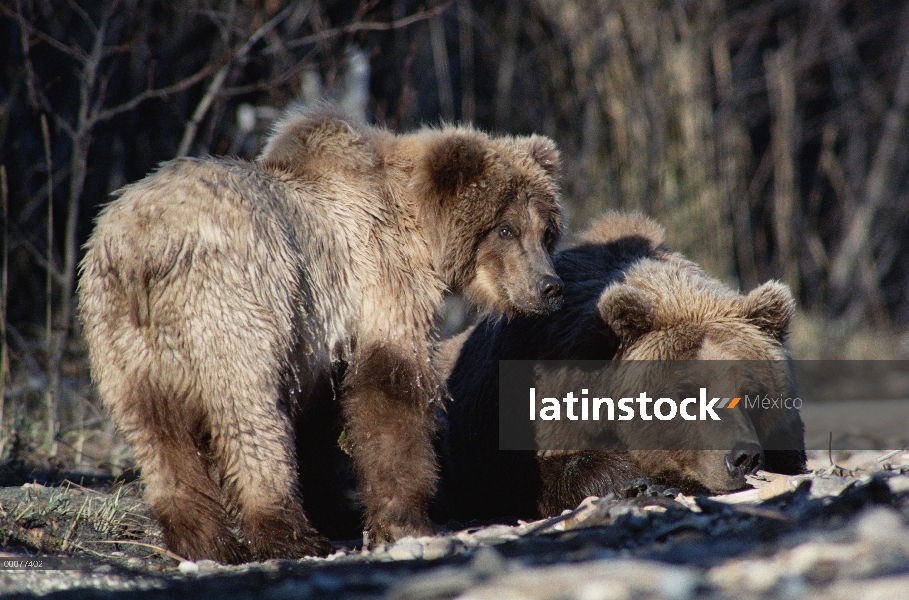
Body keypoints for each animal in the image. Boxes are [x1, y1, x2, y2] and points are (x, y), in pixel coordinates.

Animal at [78, 108, 564, 564]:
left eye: (545, 231)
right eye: (505, 228)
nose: (550, 286)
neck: (418, 231)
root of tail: (143, 247)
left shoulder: (322, 343)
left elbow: (323, 422)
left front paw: (336, 508)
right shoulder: (379, 280)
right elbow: (391, 389)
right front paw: (407, 519)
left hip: (121, 336)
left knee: (156, 432)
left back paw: (204, 540)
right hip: (231, 301)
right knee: (249, 411)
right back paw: (288, 534)